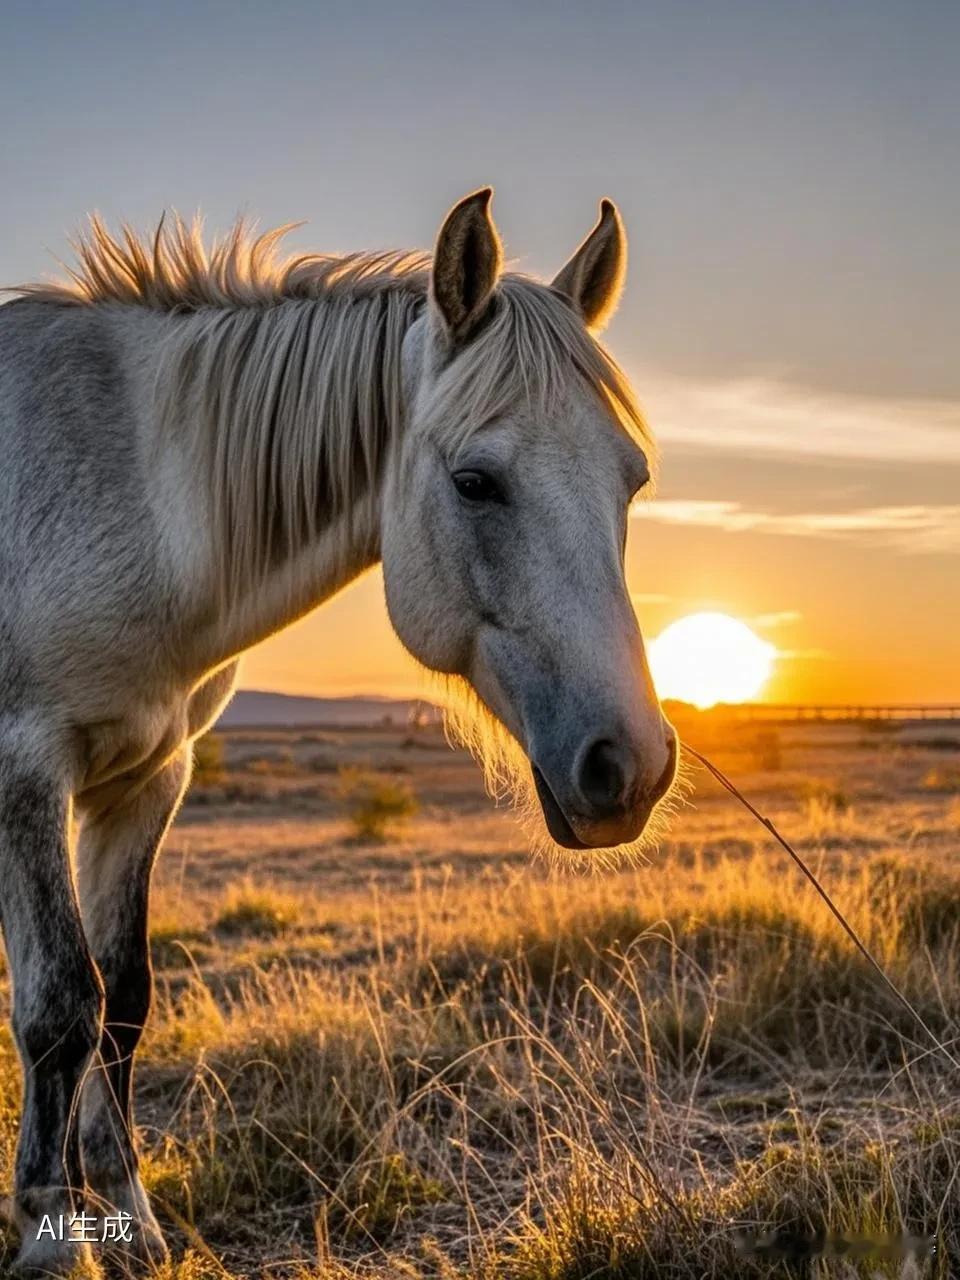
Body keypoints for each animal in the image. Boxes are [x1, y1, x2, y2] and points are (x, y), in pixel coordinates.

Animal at [0, 192, 675, 1280]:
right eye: (476, 482)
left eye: (633, 481)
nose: (634, 766)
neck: (130, 490)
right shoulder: (27, 762)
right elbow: (62, 1000)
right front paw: (52, 1237)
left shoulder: (147, 776)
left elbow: (123, 995)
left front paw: (128, 1216)